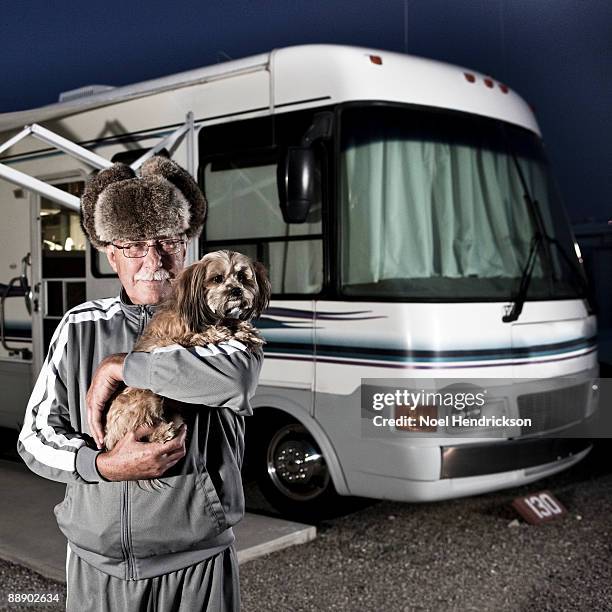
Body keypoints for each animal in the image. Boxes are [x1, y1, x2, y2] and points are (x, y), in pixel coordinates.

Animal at [103, 249, 270, 454]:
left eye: (241, 277)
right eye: (217, 278)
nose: (237, 290)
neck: (208, 315)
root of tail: (108, 439)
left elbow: (233, 322)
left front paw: (247, 331)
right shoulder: (171, 340)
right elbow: (204, 334)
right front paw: (224, 332)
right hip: (146, 398)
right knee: (145, 430)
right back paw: (162, 433)